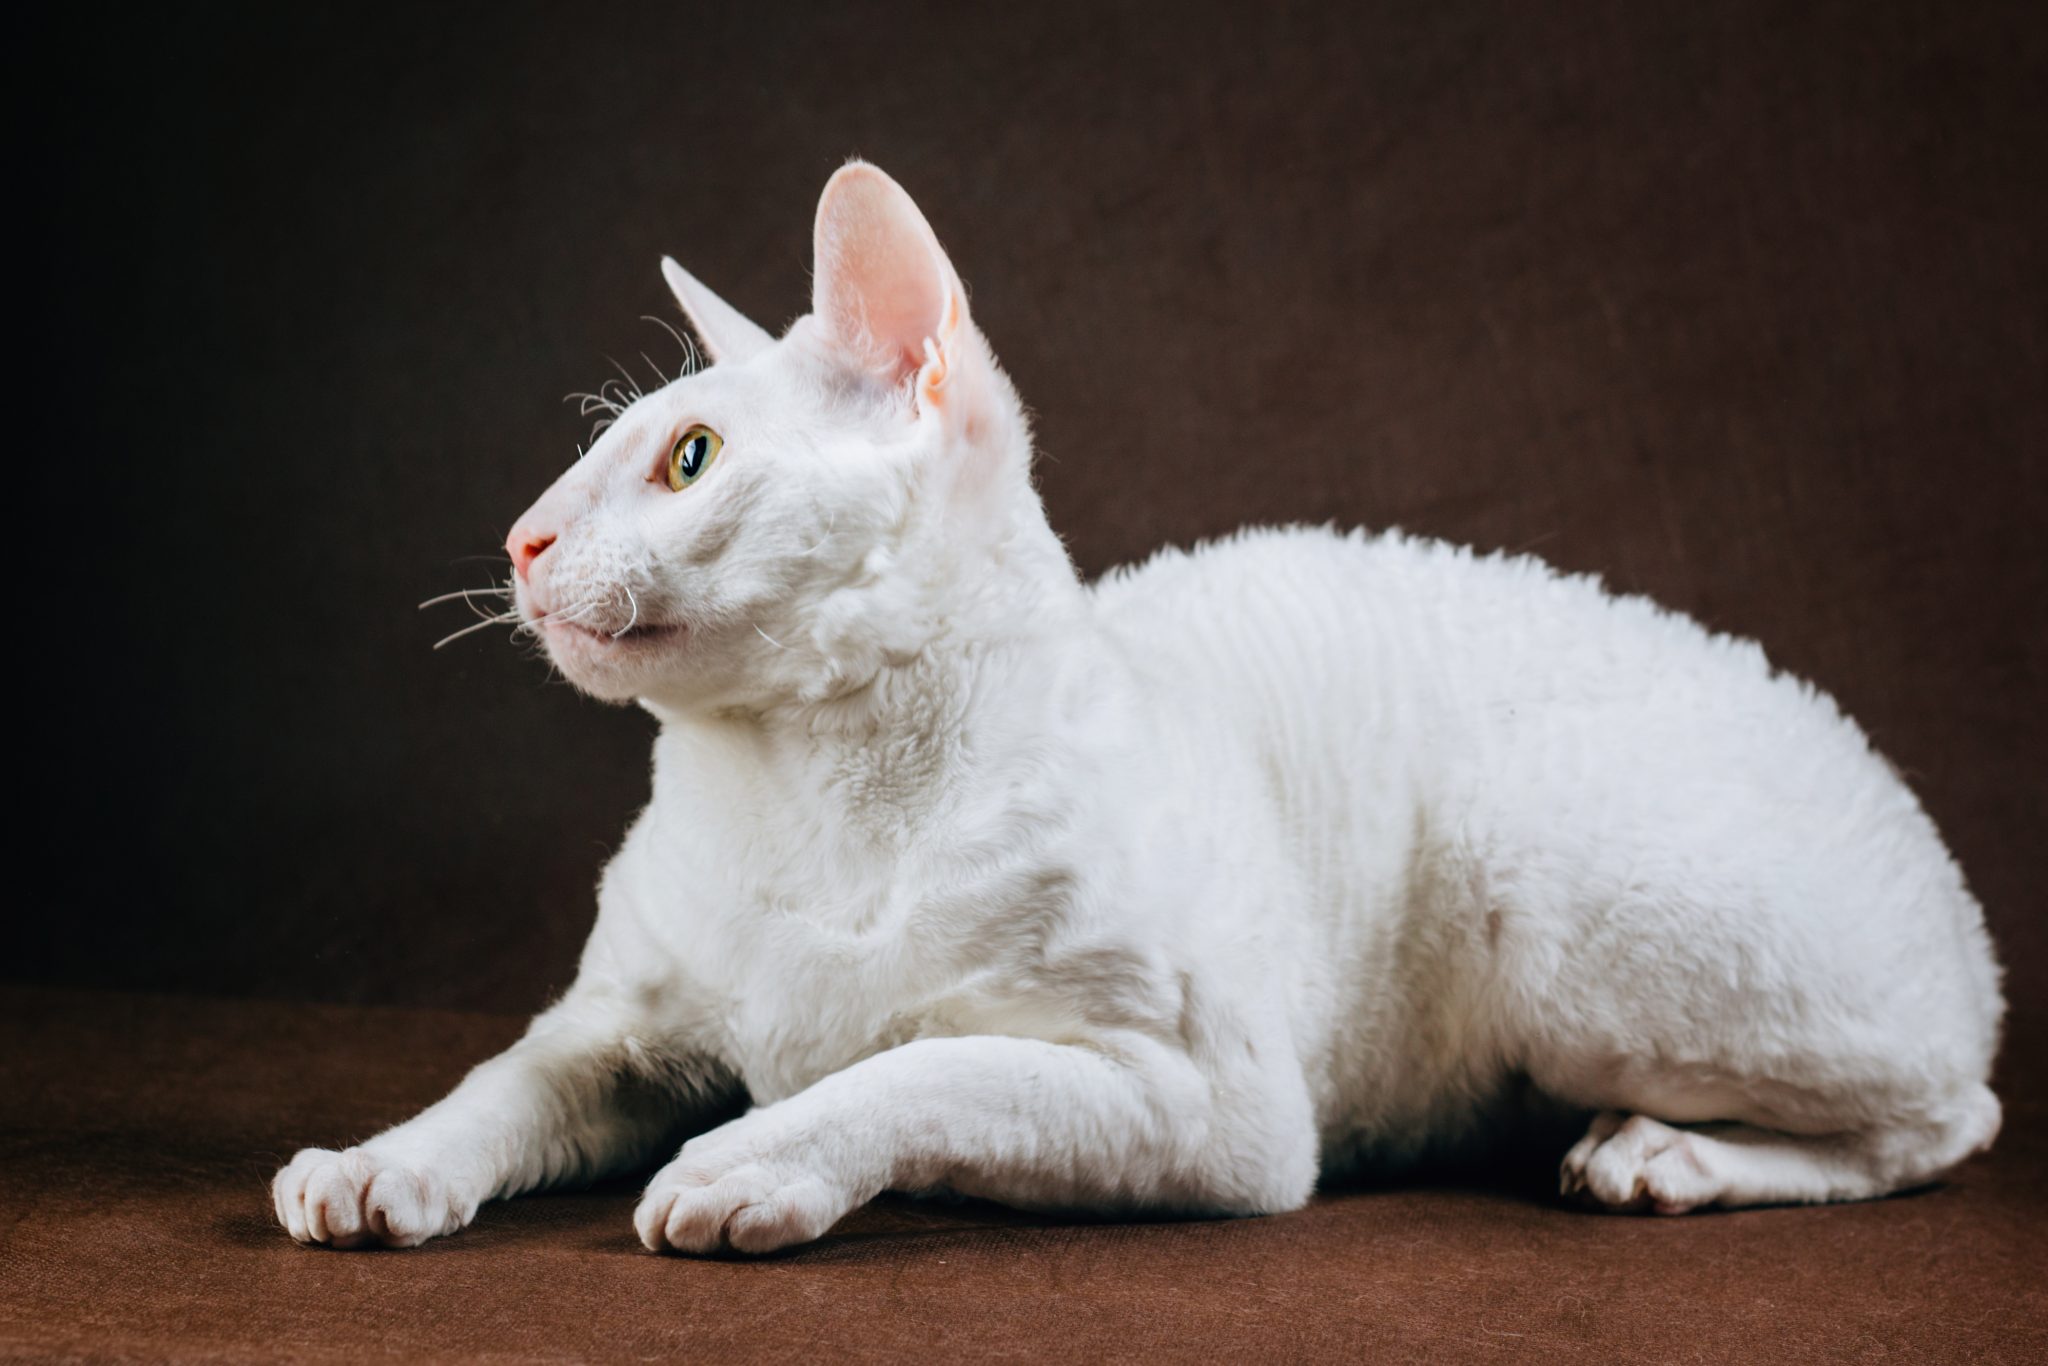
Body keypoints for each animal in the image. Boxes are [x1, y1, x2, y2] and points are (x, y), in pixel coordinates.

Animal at [268, 165, 1998, 1253]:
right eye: (591, 454)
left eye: (688, 459)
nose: (520, 539)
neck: (797, 785)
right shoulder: (616, 1025)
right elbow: (498, 1084)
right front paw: (373, 1166)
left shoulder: (1217, 1104)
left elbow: (917, 1070)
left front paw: (752, 1158)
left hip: (1566, 914)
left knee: (1948, 1116)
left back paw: (1663, 1153)